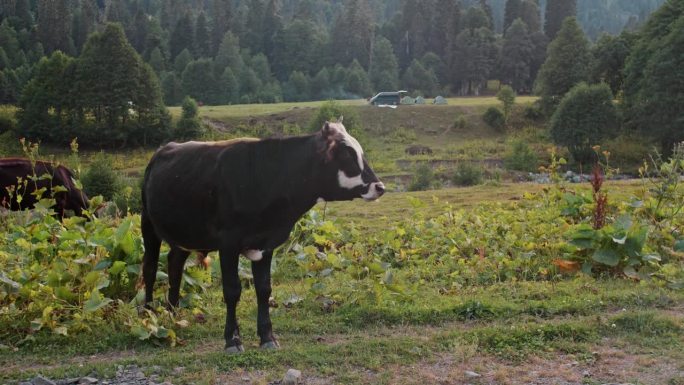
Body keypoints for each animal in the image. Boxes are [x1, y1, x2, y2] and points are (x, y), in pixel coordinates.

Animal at [140, 118, 384, 352]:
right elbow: (232, 290)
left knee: (174, 264)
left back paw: (173, 313)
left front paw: (268, 337)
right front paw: (232, 340)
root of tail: (163, 149)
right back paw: (147, 314)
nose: (379, 187)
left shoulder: (265, 245)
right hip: (148, 225)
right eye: (346, 153)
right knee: (150, 268)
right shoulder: (228, 244)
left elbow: (264, 289)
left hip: (184, 234)